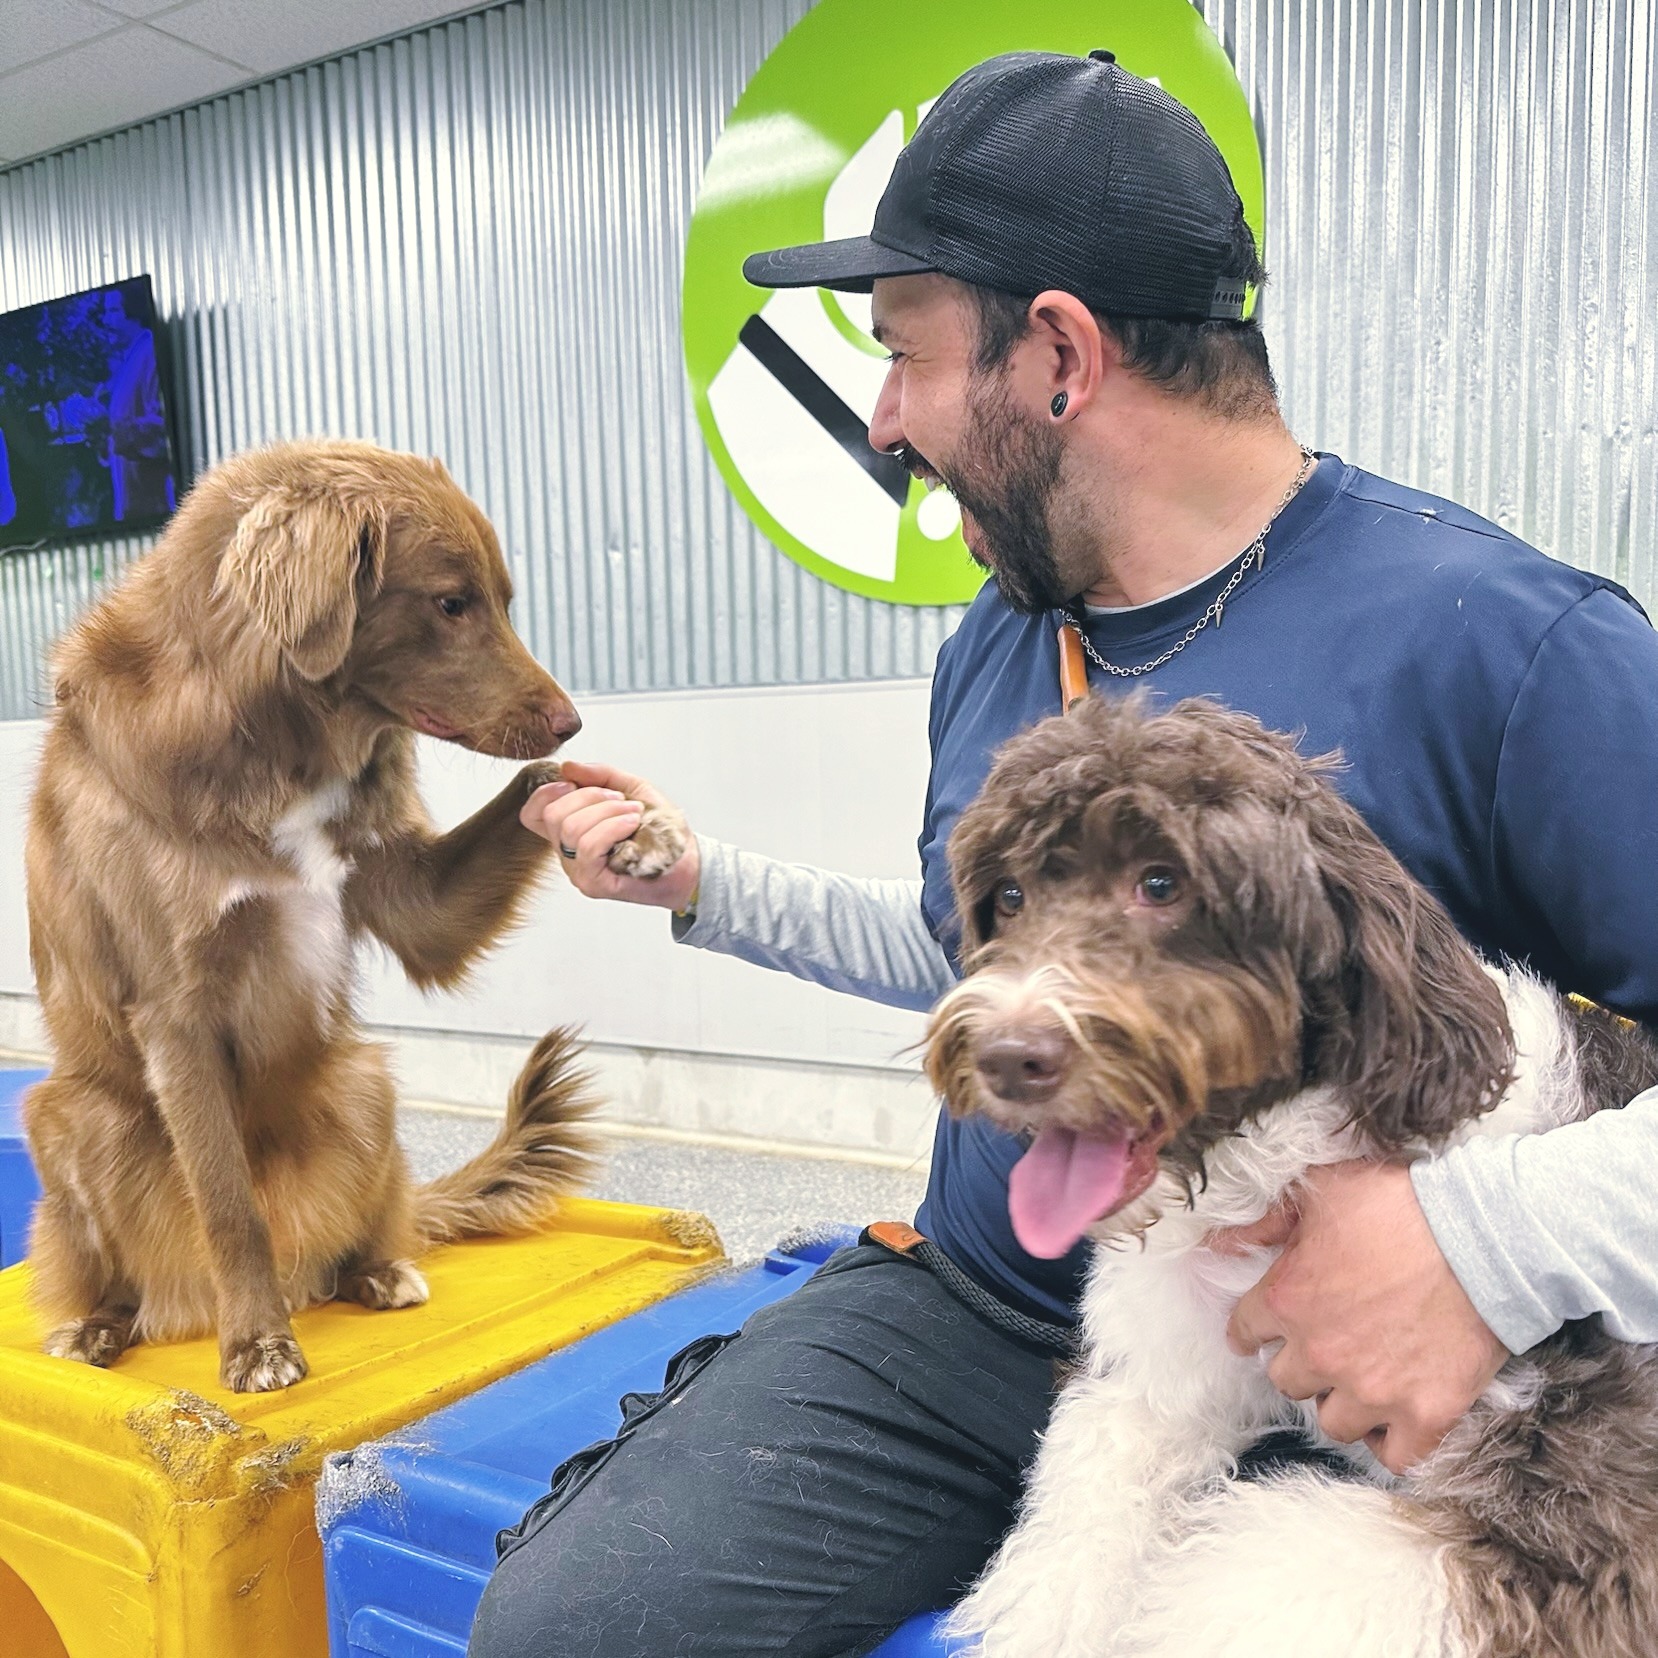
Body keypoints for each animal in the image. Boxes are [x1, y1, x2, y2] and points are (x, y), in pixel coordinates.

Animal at [22, 438, 686, 1392]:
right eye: (451, 602)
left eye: (503, 599)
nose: (571, 720)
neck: (273, 746)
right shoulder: (175, 1016)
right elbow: (229, 1206)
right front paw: (257, 1345)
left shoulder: (413, 899)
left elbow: (540, 786)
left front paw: (636, 827)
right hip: (69, 1112)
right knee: (110, 1267)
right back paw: (98, 1327)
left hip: (363, 1078)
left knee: (368, 1226)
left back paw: (377, 1269)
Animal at [925, 693, 1658, 1658]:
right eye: (1009, 897)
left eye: (1161, 882)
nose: (1007, 1055)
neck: (1279, 1167)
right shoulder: (1159, 1383)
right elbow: (1079, 1536)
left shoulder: (1584, 1532)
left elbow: (1231, 1597)